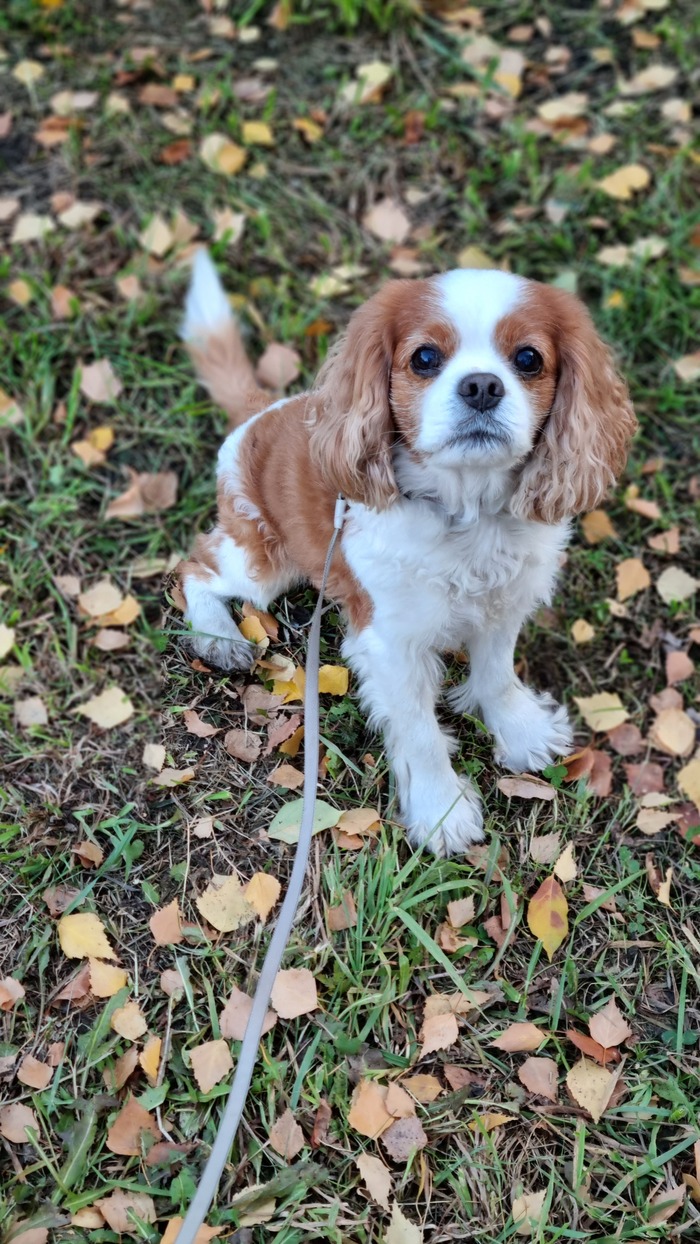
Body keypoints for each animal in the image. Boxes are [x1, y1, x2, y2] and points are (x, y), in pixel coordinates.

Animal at [179, 251, 636, 857]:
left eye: (528, 358)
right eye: (424, 358)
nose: (482, 386)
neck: (466, 512)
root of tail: (261, 412)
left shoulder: (503, 606)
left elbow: (497, 673)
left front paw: (519, 730)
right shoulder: (391, 644)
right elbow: (419, 731)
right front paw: (442, 811)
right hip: (262, 564)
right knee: (196, 564)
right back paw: (219, 637)